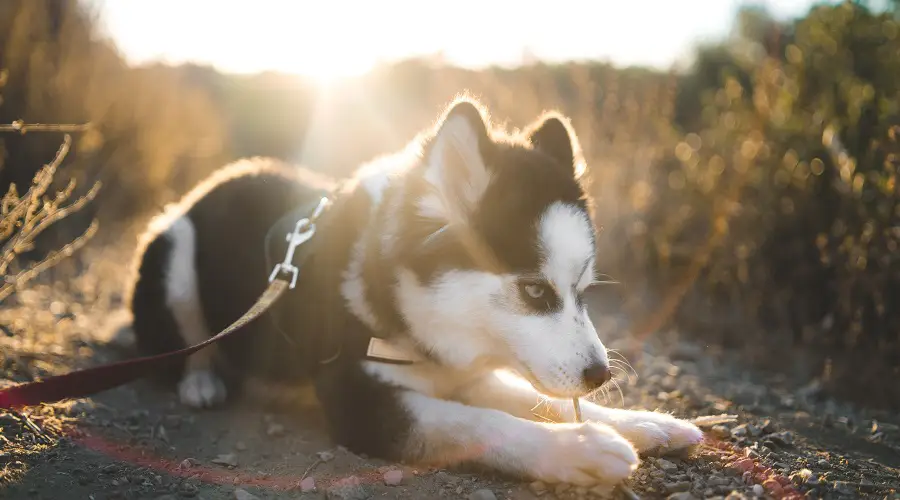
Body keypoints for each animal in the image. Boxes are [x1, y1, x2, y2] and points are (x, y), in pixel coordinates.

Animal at [126, 95, 704, 486]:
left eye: (583, 290)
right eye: (535, 291)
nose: (601, 374)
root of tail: (215, 181)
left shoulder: (462, 372)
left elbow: (526, 399)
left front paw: (645, 423)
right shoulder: (359, 401)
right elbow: (476, 423)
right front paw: (581, 449)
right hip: (174, 251)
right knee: (185, 341)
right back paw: (201, 381)